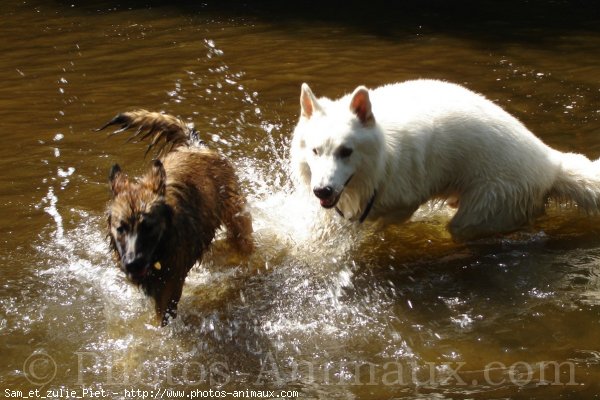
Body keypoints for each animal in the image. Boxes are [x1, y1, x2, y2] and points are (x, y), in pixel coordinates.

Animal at [98, 109, 253, 324]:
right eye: (121, 228)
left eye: (148, 227)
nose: (133, 264)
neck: (159, 251)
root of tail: (194, 146)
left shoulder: (170, 286)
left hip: (236, 218)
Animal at [290, 79, 600, 241]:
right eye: (315, 151)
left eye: (346, 151)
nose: (322, 191)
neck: (384, 156)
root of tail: (551, 164)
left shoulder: (403, 203)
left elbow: (378, 221)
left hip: (482, 209)